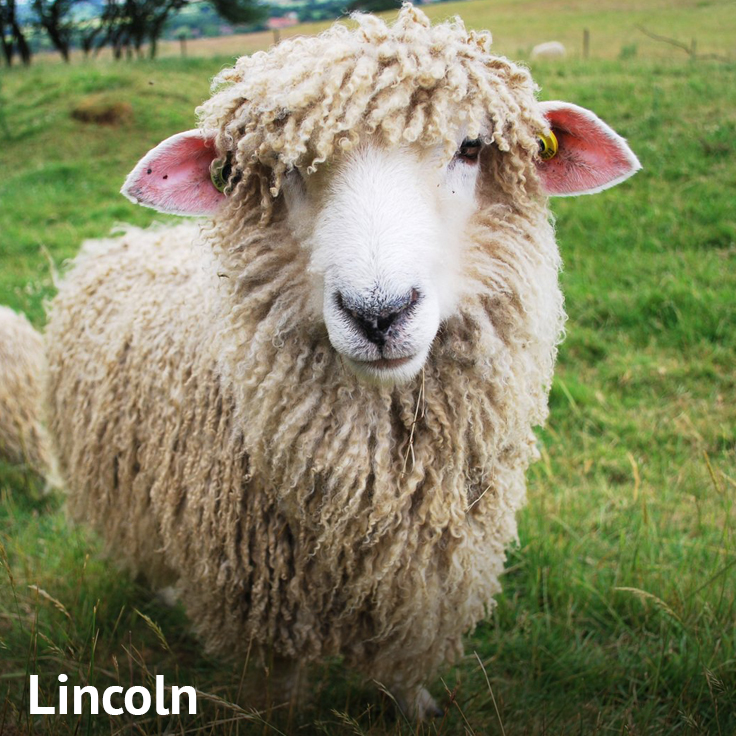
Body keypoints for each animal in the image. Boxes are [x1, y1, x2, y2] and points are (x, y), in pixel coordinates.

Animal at [44, 5, 640, 718]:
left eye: (470, 148)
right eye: (284, 170)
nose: (378, 313)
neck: (368, 500)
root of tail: (124, 238)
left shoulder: (425, 586)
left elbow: (406, 669)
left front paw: (418, 710)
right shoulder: (263, 609)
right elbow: (277, 695)